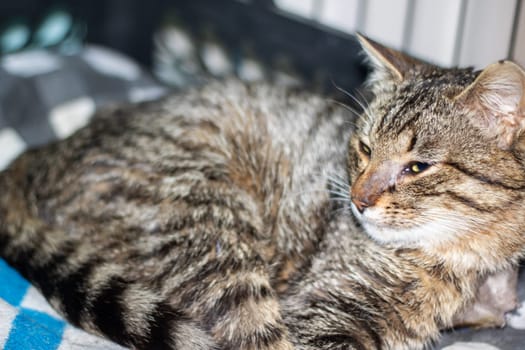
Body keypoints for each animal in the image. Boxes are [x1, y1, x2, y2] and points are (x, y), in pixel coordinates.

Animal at [1, 33, 524, 350]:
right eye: (365, 147)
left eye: (417, 167)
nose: (358, 200)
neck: (468, 261)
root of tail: (39, 156)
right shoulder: (320, 314)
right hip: (209, 227)